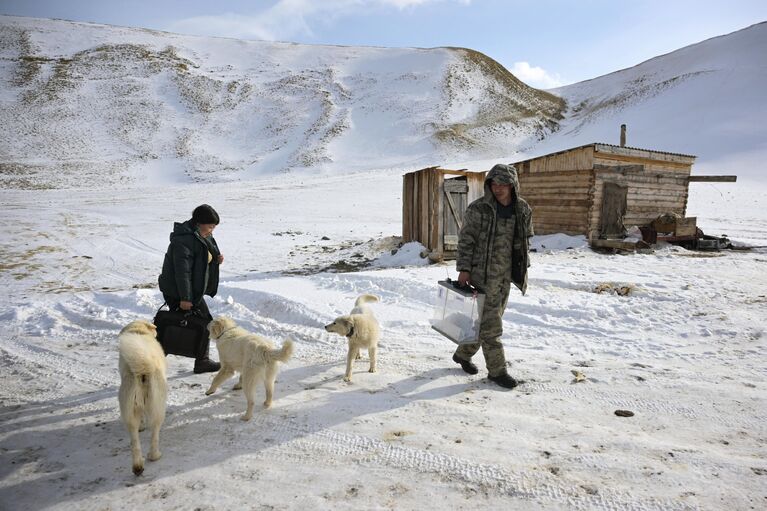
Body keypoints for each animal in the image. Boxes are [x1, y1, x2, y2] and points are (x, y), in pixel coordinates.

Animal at [118, 318, 167, 478]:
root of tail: (143, 370)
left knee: (134, 441)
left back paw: (138, 467)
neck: (139, 331)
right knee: (155, 434)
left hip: (129, 410)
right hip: (158, 408)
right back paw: (154, 455)